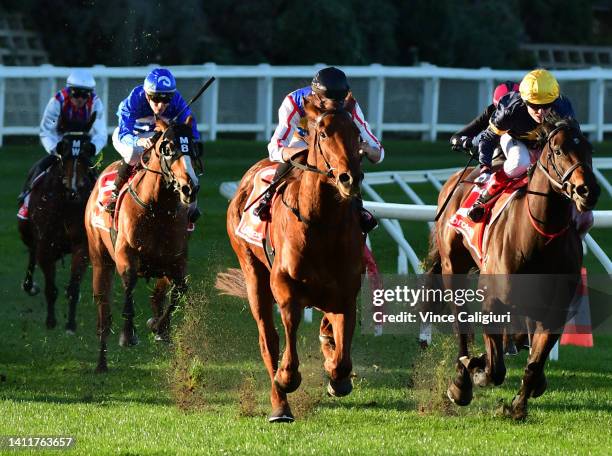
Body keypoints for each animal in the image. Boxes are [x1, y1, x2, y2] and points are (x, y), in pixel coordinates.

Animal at [17, 134, 97, 334]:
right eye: (65, 158)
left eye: (84, 158)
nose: (73, 190)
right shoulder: (46, 245)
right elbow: (51, 288)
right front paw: (51, 322)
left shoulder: (82, 246)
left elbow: (74, 288)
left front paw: (70, 325)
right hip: (26, 233)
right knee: (31, 254)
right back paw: (29, 286)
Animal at [85, 119, 200, 372]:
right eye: (168, 147)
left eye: (193, 146)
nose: (189, 187)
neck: (157, 209)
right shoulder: (126, 256)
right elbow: (129, 287)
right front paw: (128, 334)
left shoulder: (176, 260)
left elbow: (178, 291)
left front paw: (159, 327)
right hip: (100, 261)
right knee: (103, 314)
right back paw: (101, 363)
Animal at [227, 98, 366, 422]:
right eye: (324, 133)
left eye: (357, 133)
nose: (349, 178)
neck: (322, 224)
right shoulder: (286, 288)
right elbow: (287, 339)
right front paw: (286, 378)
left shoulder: (345, 293)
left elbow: (342, 357)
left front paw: (336, 375)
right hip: (252, 273)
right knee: (268, 340)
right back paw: (280, 405)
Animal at [428, 117, 600, 420]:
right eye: (558, 150)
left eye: (589, 148)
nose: (587, 191)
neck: (538, 235)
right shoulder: (492, 299)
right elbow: (495, 368)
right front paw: (478, 370)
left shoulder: (555, 310)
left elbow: (534, 362)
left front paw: (518, 405)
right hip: (452, 267)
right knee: (462, 325)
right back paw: (462, 379)